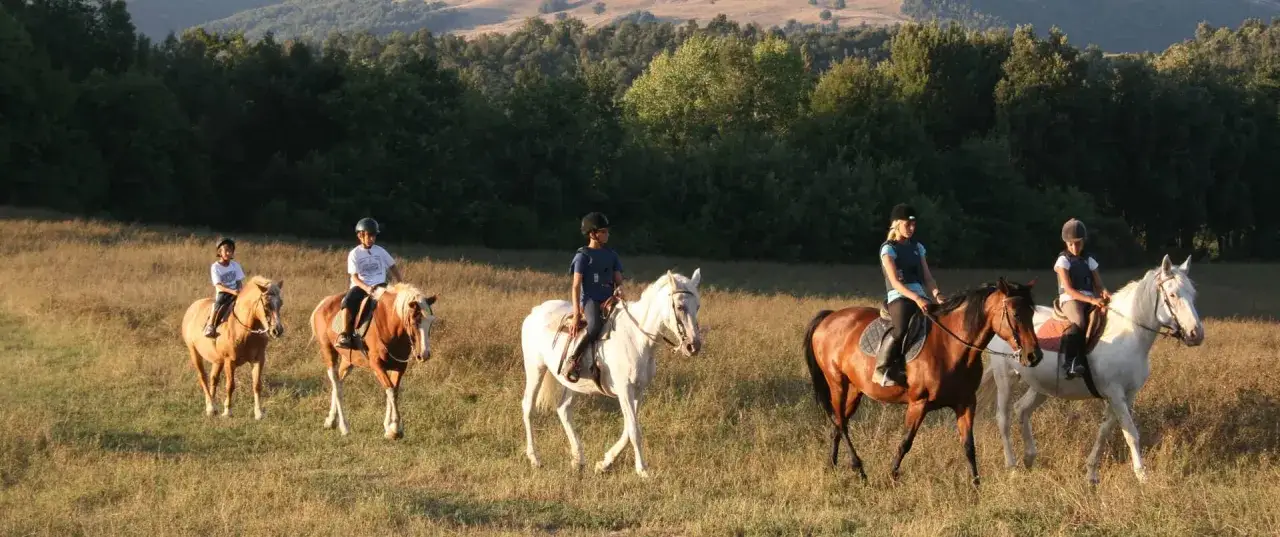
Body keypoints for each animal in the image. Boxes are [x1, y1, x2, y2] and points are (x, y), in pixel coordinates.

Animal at [181, 276, 286, 419]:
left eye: (280, 303)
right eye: (266, 304)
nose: (277, 331)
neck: (244, 330)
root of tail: (192, 308)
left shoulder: (259, 359)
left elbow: (256, 385)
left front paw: (258, 413)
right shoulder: (229, 361)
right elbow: (230, 385)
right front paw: (227, 411)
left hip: (217, 360)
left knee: (213, 379)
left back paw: (211, 407)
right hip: (194, 352)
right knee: (203, 377)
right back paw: (211, 407)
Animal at [309, 283, 438, 439]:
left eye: (430, 322)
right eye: (415, 320)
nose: (424, 355)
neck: (388, 324)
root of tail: (323, 303)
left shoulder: (399, 367)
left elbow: (393, 391)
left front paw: (389, 428)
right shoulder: (377, 366)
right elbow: (390, 390)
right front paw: (395, 429)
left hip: (348, 360)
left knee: (338, 382)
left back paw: (331, 420)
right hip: (328, 351)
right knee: (335, 383)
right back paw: (344, 427)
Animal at [521, 270, 704, 478]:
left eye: (698, 306)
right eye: (680, 306)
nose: (693, 346)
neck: (637, 338)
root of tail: (535, 311)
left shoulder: (638, 391)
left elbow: (628, 429)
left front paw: (604, 463)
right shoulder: (624, 390)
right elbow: (634, 430)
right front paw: (642, 470)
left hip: (573, 382)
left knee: (563, 409)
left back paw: (578, 459)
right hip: (535, 369)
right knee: (528, 407)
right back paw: (535, 459)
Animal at [803, 277, 1043, 485]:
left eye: (1032, 312)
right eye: (1015, 314)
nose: (1034, 356)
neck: (951, 347)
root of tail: (830, 318)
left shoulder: (966, 403)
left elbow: (968, 445)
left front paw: (976, 486)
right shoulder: (918, 403)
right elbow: (905, 443)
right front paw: (891, 478)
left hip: (855, 390)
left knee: (838, 423)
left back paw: (832, 466)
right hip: (837, 383)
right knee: (841, 423)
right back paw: (859, 469)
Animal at [983, 254, 1204, 484]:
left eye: (1192, 293)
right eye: (1172, 294)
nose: (1196, 334)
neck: (1128, 332)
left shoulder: (1127, 395)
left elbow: (1105, 430)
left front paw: (1092, 473)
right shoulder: (1115, 393)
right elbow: (1130, 433)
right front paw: (1142, 475)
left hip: (1041, 386)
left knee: (1022, 409)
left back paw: (1029, 458)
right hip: (1005, 378)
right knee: (1003, 418)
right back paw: (1012, 467)